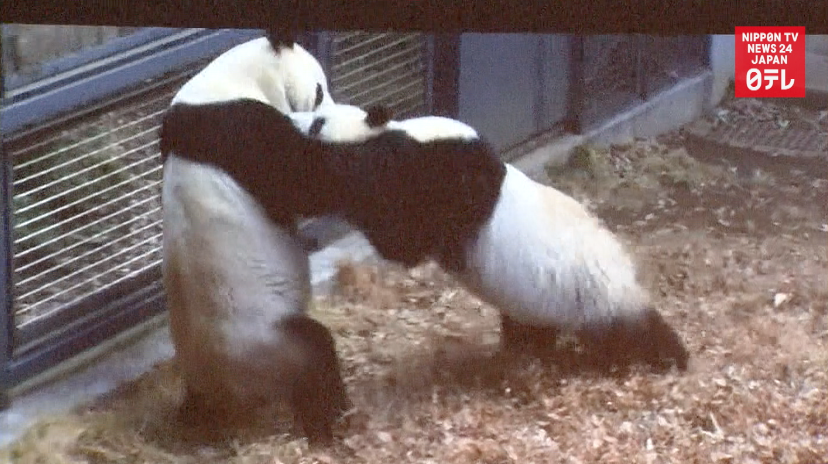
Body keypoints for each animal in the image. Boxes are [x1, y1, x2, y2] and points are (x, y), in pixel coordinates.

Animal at [159, 31, 348, 444]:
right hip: (263, 345)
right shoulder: (240, 127)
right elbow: (307, 183)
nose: (324, 119)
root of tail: (223, 394)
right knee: (314, 353)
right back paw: (329, 421)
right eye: (320, 90)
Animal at [287, 103, 690, 373]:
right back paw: (526, 350)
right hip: (540, 300)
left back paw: (668, 356)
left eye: (319, 121)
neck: (401, 132)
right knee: (532, 328)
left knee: (632, 332)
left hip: (594, 292)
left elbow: (401, 236)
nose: (297, 120)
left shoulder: (444, 181)